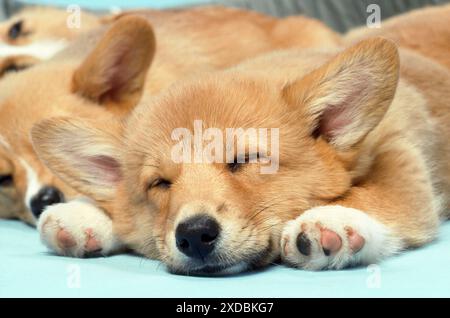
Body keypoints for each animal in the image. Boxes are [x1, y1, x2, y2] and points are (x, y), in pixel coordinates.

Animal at [32, 36, 450, 274]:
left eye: (245, 160)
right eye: (160, 183)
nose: (194, 235)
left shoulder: (402, 159)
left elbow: (380, 196)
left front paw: (331, 218)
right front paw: (84, 213)